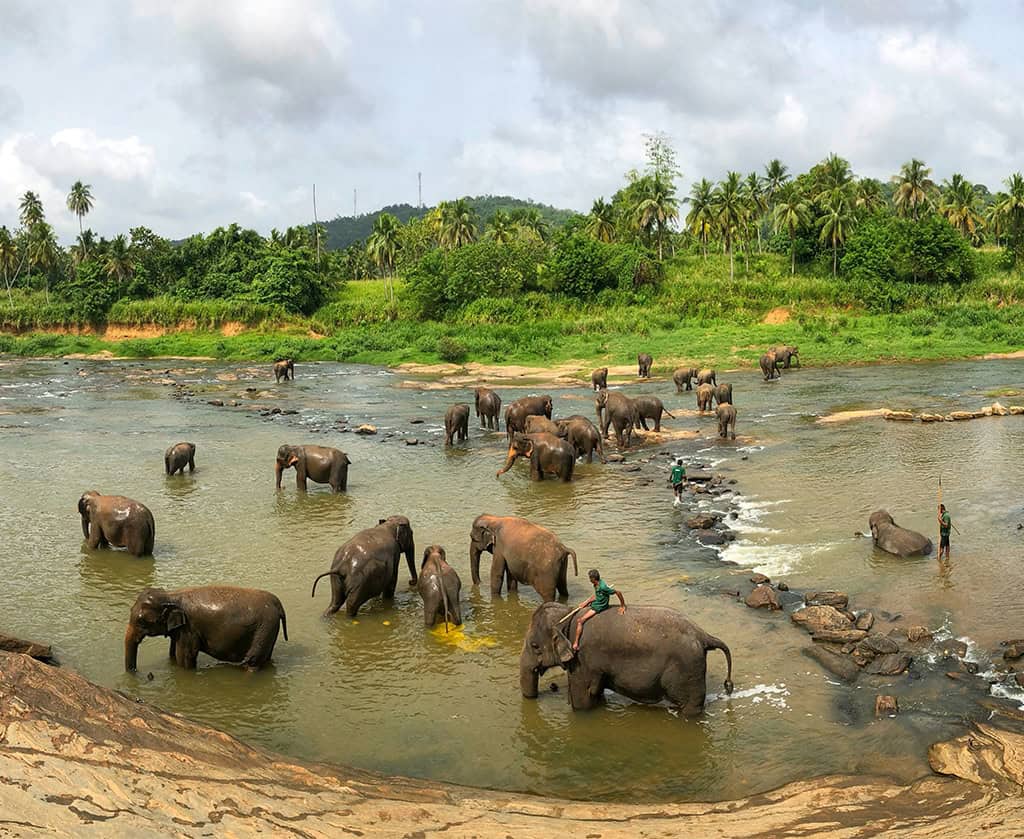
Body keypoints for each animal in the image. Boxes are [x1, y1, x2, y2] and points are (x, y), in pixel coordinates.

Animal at [124, 586, 287, 672]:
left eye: (141, 621)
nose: (135, 671)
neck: (170, 595)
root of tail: (277, 602)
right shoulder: (180, 630)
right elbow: (173, 654)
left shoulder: (189, 629)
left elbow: (185, 658)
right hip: (269, 629)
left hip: (264, 628)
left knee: (252, 662)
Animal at [519, 602, 734, 716]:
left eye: (534, 646)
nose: (549, 690)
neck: (568, 614)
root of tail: (703, 635)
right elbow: (595, 694)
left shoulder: (582, 659)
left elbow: (582, 698)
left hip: (688, 670)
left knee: (689, 706)